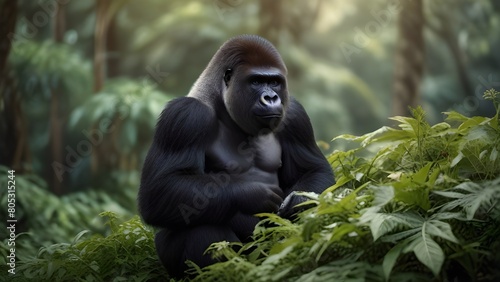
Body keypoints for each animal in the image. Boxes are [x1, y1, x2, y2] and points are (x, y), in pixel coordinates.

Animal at [139, 33, 334, 278]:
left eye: (274, 82)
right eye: (256, 81)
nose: (271, 98)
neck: (219, 102)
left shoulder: (295, 114)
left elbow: (314, 170)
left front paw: (297, 201)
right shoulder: (184, 115)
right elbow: (159, 189)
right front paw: (251, 194)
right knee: (201, 226)